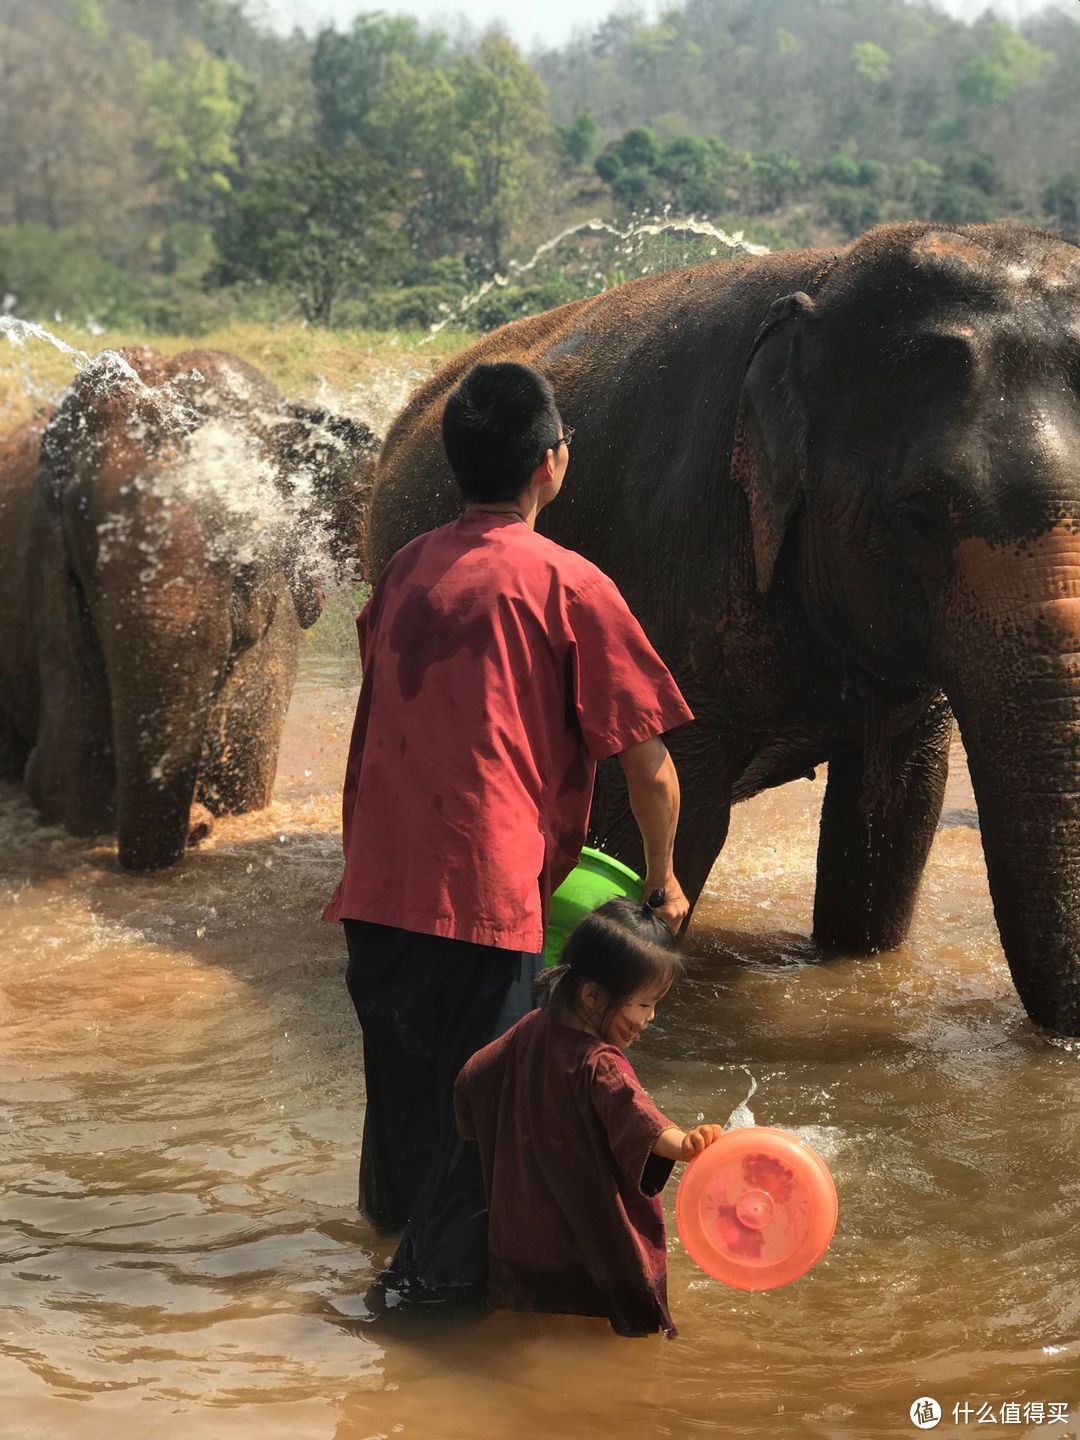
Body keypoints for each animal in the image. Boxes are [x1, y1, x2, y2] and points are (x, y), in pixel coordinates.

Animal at [0, 342, 380, 869]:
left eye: (245, 546)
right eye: (82, 552)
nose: (197, 824)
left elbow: (247, 777)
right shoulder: (50, 592)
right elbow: (69, 784)